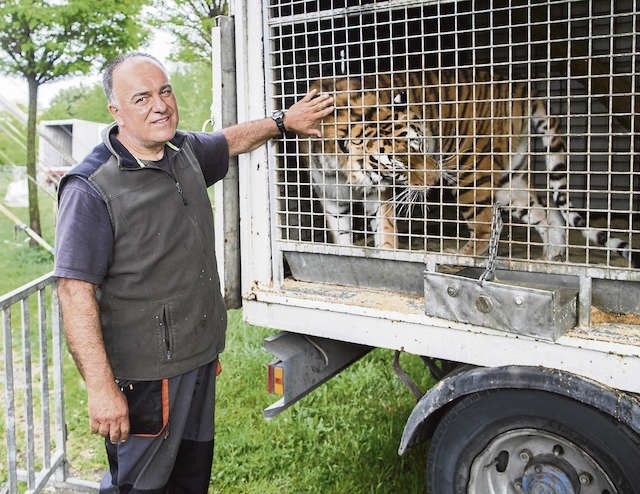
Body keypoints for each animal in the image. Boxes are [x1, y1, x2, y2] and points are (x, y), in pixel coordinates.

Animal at [302, 70, 636, 266]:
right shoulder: (332, 196)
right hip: (509, 182)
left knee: (487, 227)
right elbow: (342, 235)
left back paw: (456, 257)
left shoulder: (380, 195)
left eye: (419, 144)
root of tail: (522, 88)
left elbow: (384, 234)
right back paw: (551, 254)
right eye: (400, 163)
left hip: (470, 173)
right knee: (545, 213)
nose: (436, 178)